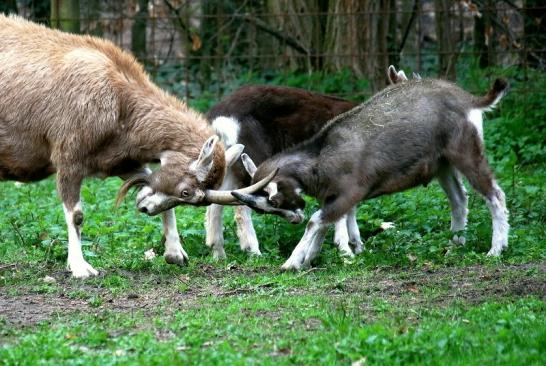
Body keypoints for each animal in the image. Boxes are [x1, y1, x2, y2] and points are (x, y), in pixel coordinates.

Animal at [1, 15, 268, 278]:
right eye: (185, 192)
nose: (144, 208)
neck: (119, 100)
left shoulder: (117, 161)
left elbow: (148, 181)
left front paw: (175, 254)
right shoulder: (69, 158)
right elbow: (76, 215)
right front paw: (80, 268)